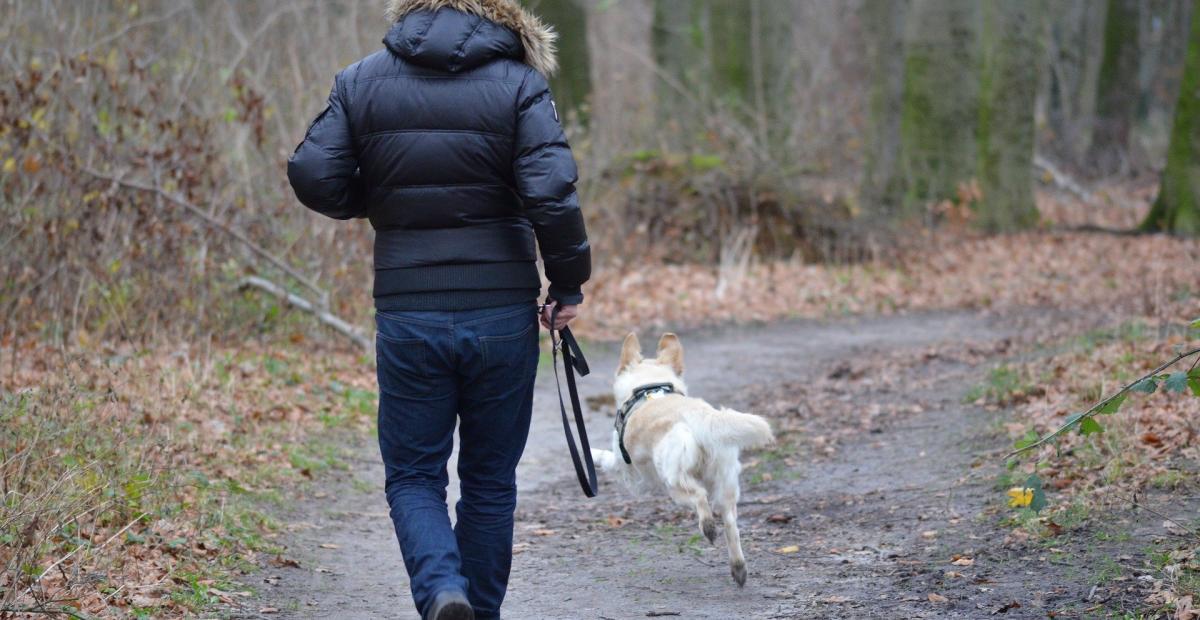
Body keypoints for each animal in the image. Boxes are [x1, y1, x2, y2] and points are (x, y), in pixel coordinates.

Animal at [592, 330, 777, 582]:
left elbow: (605, 457)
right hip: (726, 483)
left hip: (673, 482)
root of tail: (699, 417)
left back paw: (708, 528)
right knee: (730, 524)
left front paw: (590, 454)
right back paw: (738, 568)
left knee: (699, 497)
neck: (649, 388)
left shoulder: (631, 475)